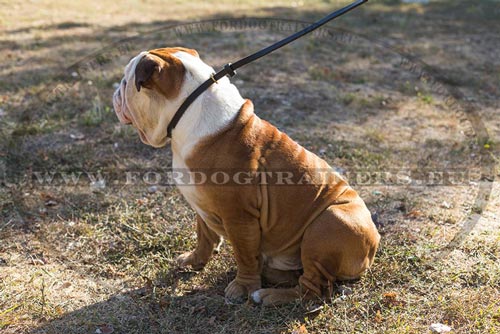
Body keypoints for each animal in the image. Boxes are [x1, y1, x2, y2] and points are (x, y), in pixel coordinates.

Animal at [113, 46, 378, 306]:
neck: (187, 109)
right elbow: (204, 236)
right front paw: (193, 260)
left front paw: (242, 287)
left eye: (126, 81)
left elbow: (244, 255)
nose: (116, 91)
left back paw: (267, 295)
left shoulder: (239, 216)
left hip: (329, 223)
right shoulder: (202, 205)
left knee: (312, 290)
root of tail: (374, 243)